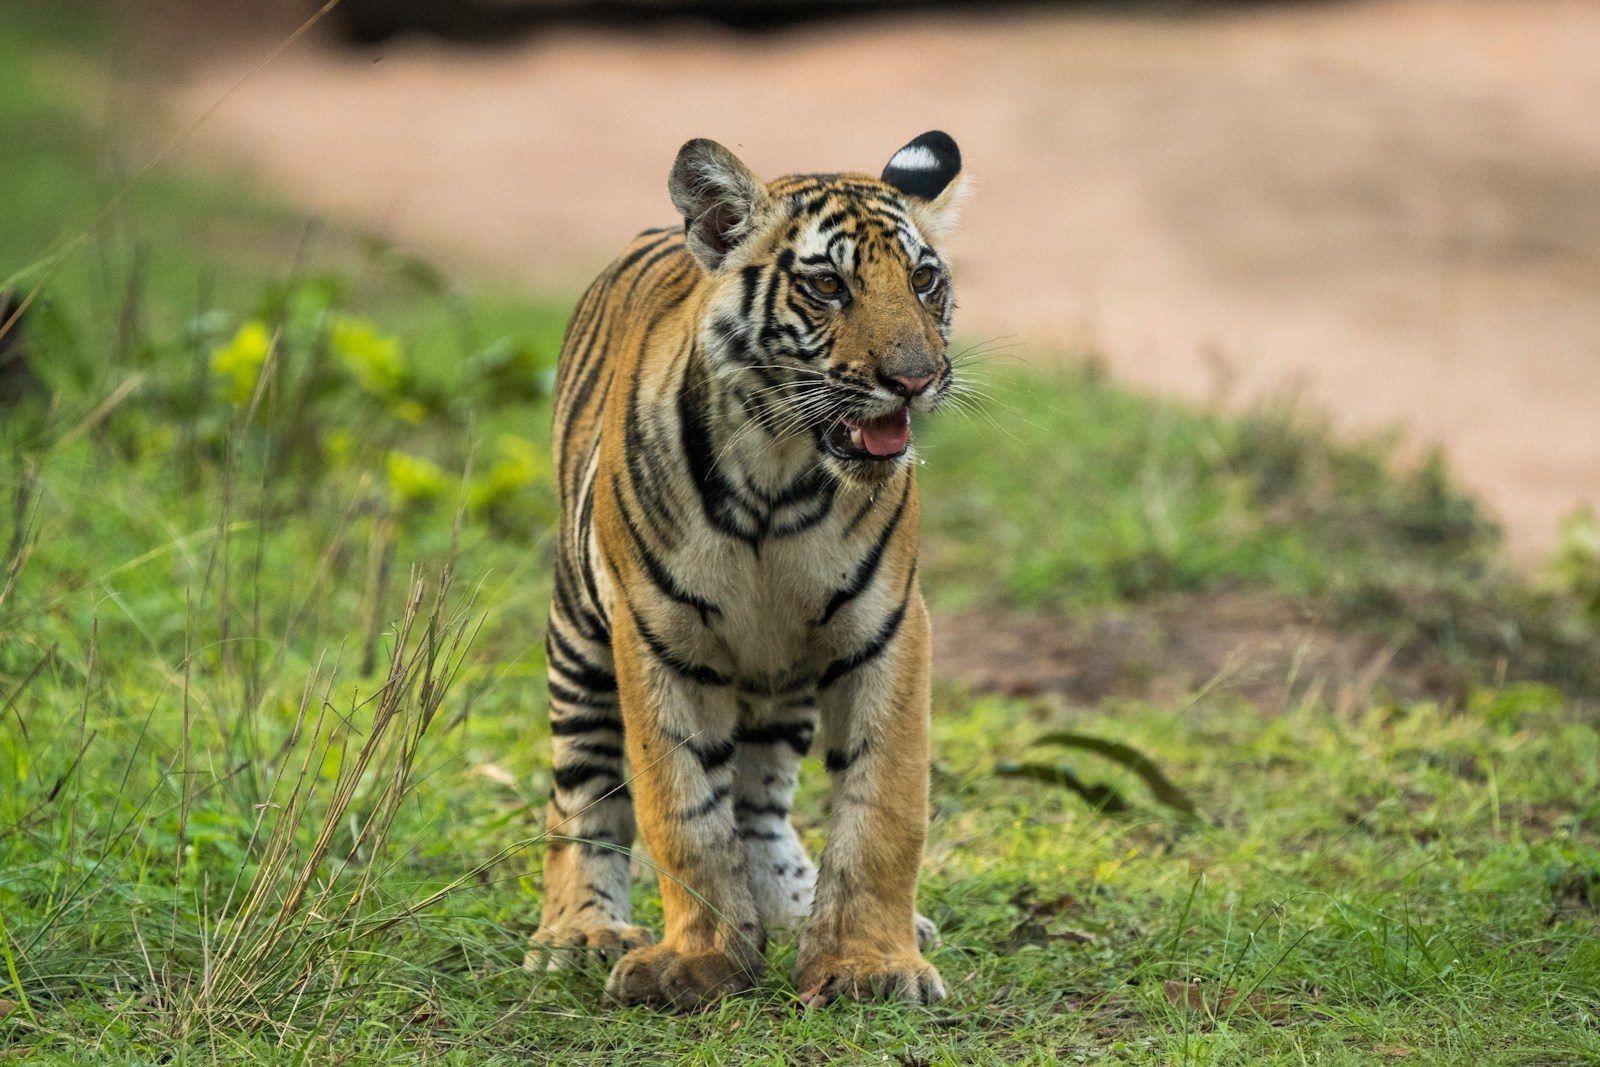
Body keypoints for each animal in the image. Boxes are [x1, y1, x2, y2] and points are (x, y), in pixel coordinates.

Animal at [526, 131, 967, 1011]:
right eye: (828, 285)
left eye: (924, 280)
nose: (915, 379)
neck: (780, 474)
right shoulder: (655, 635)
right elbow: (682, 810)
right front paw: (699, 961)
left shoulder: (887, 628)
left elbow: (883, 806)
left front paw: (869, 962)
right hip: (579, 638)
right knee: (584, 791)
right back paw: (580, 931)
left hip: (783, 673)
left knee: (761, 800)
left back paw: (795, 909)